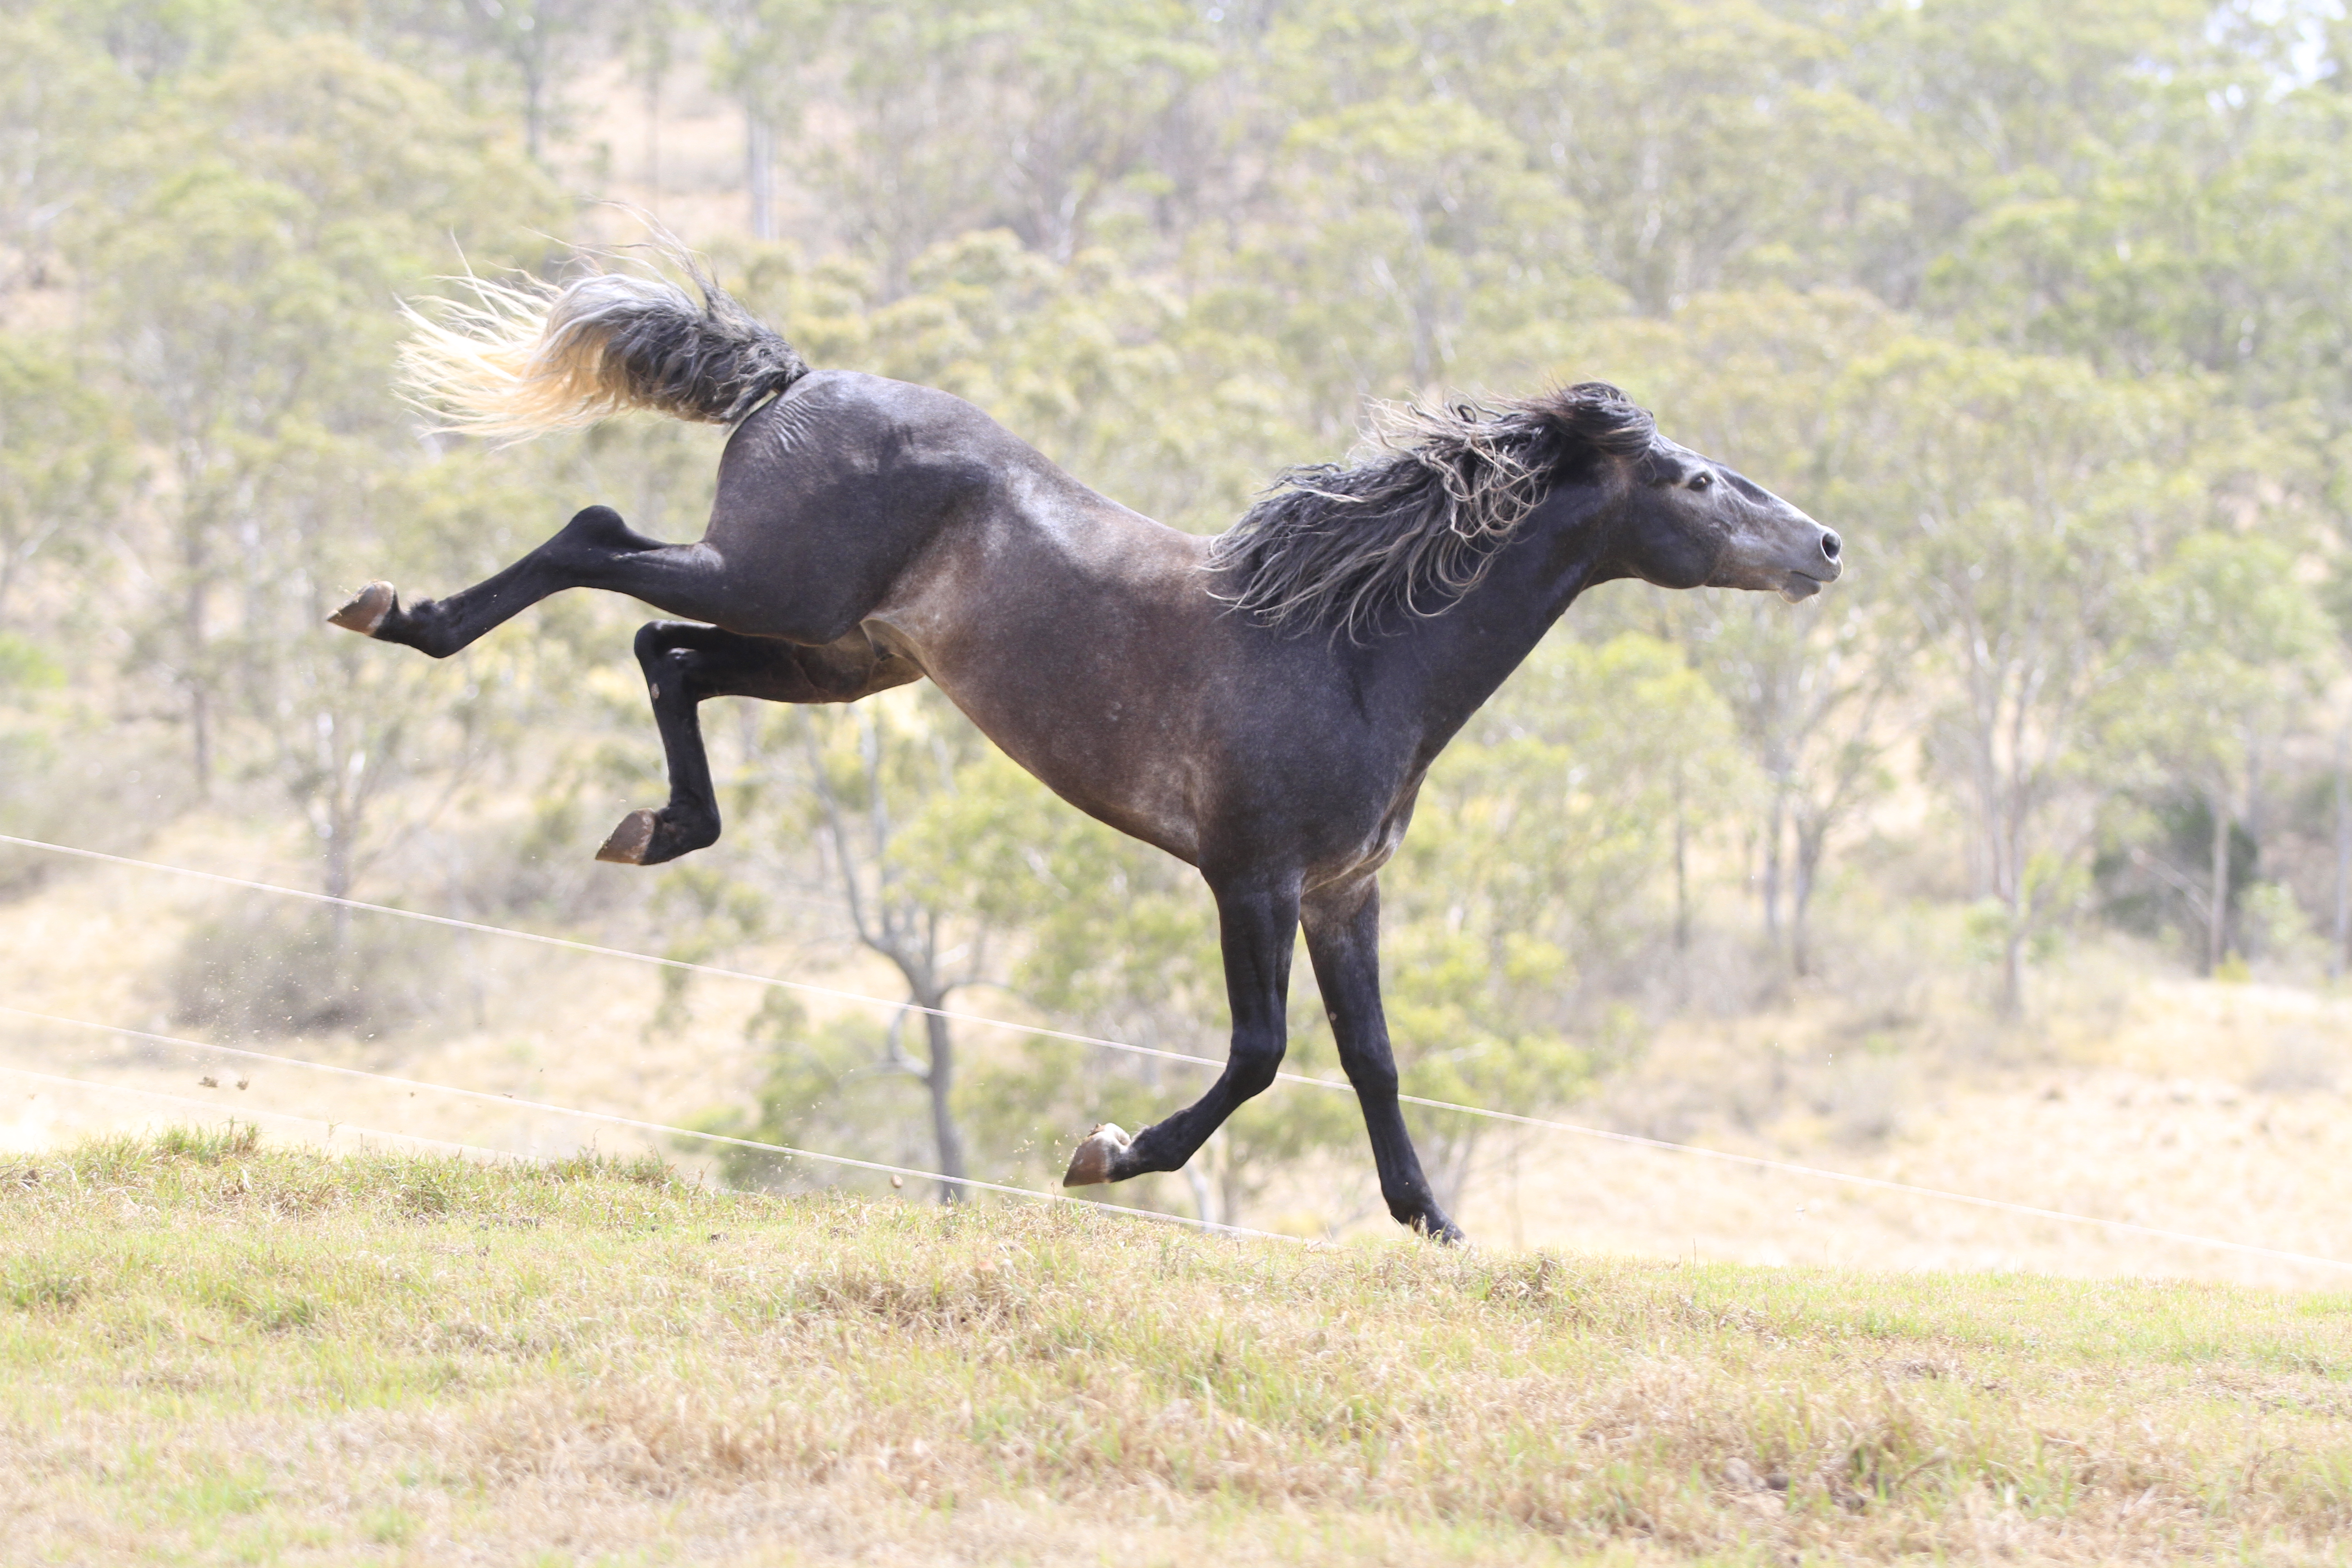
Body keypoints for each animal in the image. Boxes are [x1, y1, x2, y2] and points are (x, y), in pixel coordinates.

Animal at [331, 255, 1834, 1241]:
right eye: (1696, 480)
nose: (1824, 546)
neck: (1353, 654)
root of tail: (797, 384)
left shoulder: (1345, 894)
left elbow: (1374, 1060)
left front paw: (1435, 1228)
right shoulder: (1251, 880)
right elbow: (1260, 1055)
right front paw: (1105, 1154)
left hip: (841, 658)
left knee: (668, 656)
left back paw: (658, 826)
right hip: (775, 587)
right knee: (593, 540)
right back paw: (401, 615)